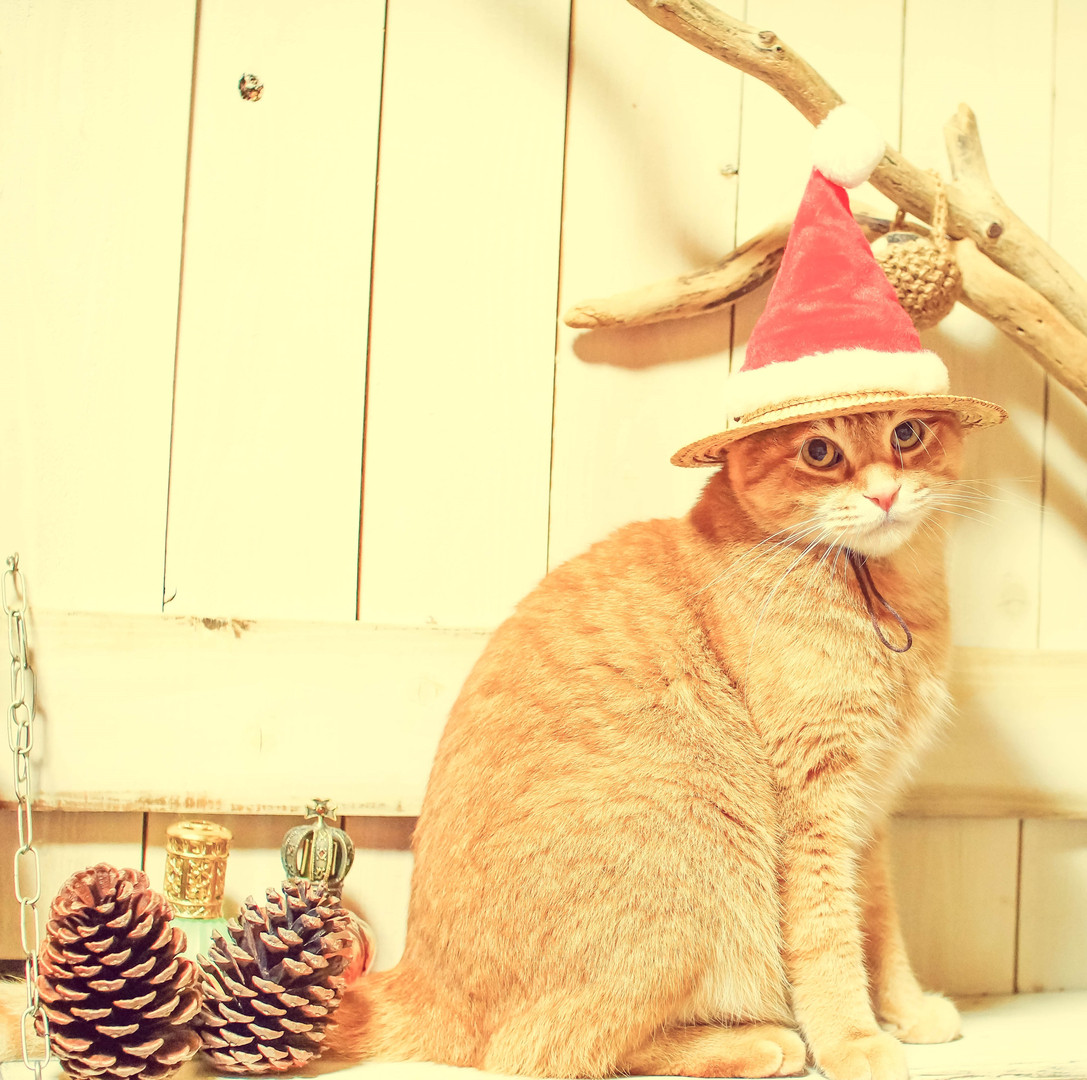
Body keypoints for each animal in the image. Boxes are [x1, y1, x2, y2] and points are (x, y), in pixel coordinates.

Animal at [322, 407, 971, 1080]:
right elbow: (829, 938)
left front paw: (907, 1010)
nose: (885, 493)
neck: (886, 597)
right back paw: (761, 1042)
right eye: (820, 450)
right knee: (546, 1051)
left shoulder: (869, 814)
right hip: (694, 851)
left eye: (906, 434)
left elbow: (880, 926)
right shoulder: (816, 812)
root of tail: (417, 980)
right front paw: (855, 1041)